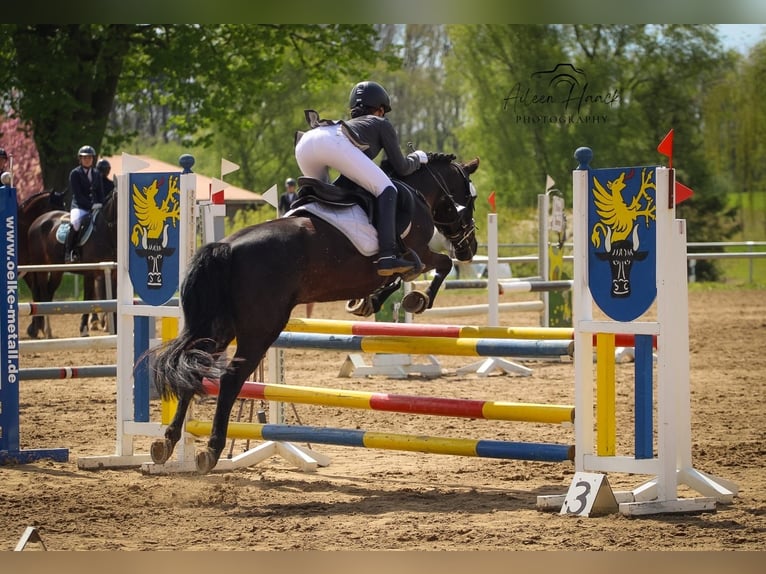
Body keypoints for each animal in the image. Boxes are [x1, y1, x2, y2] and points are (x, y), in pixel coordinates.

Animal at [25, 191, 118, 340]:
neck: (106, 232)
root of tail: (37, 221)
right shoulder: (93, 273)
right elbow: (90, 298)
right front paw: (85, 329)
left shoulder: (112, 273)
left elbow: (112, 298)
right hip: (41, 268)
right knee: (43, 295)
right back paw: (46, 330)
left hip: (57, 272)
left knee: (48, 293)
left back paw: (40, 330)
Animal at [148, 151, 480, 474]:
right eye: (469, 199)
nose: (470, 249)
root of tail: (226, 248)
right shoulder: (417, 255)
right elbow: (438, 265)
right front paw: (417, 299)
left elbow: (395, 281)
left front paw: (369, 303)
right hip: (262, 327)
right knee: (231, 378)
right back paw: (212, 449)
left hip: (221, 327)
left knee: (195, 366)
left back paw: (167, 442)